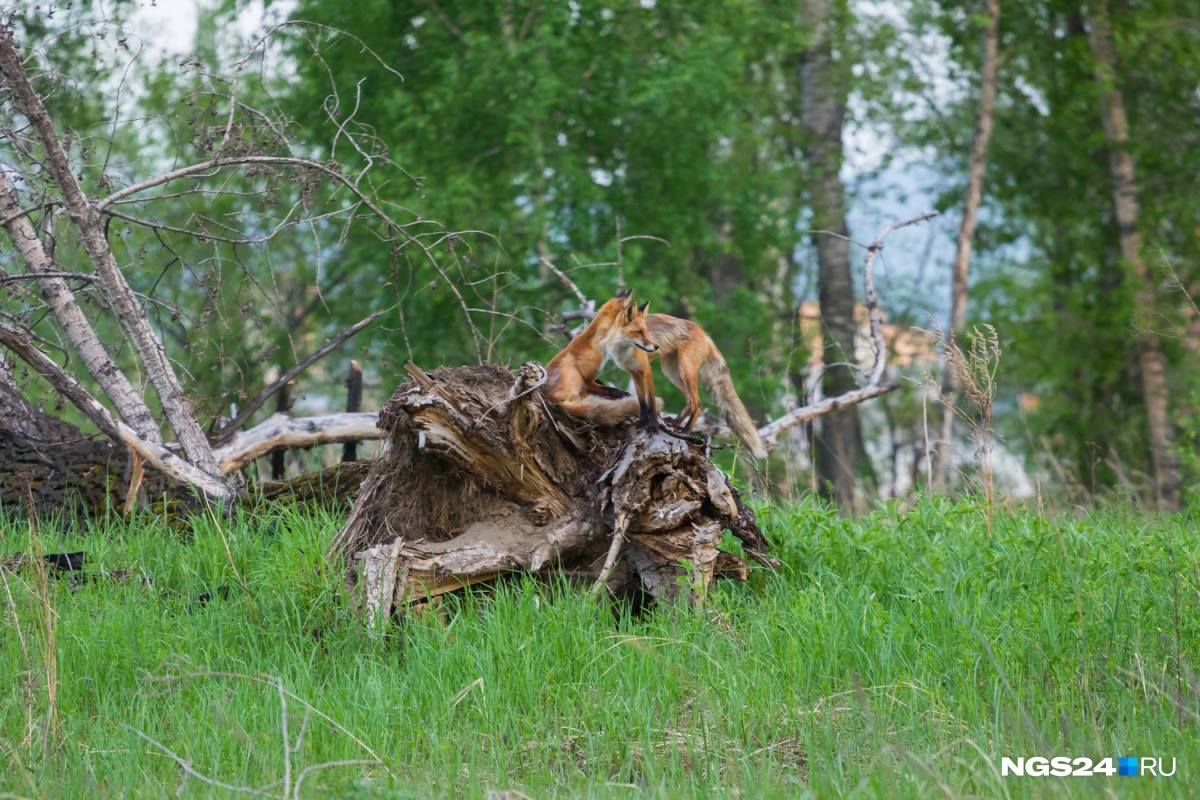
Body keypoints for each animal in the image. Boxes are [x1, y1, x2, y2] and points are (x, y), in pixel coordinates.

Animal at [547, 291, 667, 431]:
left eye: (646, 331)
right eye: (639, 332)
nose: (656, 346)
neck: (597, 344)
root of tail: (549, 397)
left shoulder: (593, 379)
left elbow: (609, 388)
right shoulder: (587, 380)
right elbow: (611, 389)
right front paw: (624, 395)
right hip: (570, 372)